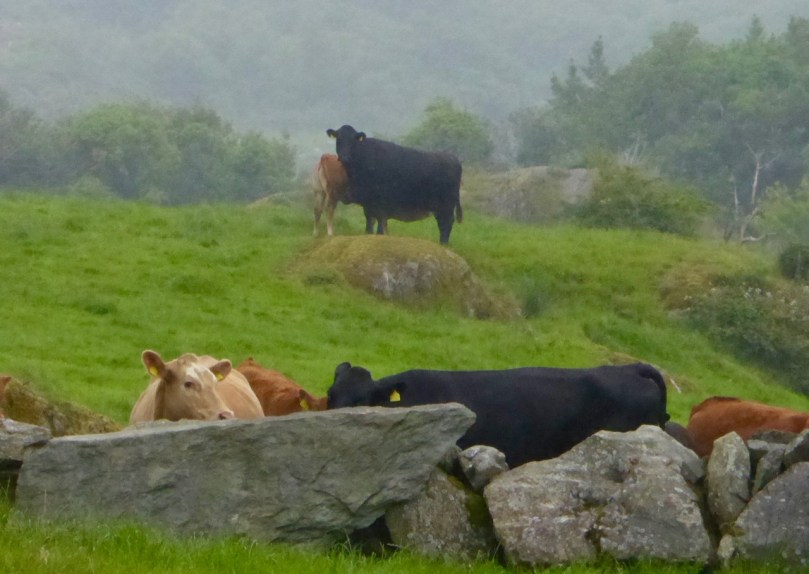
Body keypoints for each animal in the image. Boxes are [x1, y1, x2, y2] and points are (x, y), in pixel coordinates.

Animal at [326, 125, 463, 244]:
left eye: (353, 141)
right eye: (339, 139)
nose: (344, 157)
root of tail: (453, 158)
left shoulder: (380, 201)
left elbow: (380, 222)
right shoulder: (368, 202)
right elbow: (370, 220)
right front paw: (368, 234)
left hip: (446, 205)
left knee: (446, 223)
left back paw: (443, 244)